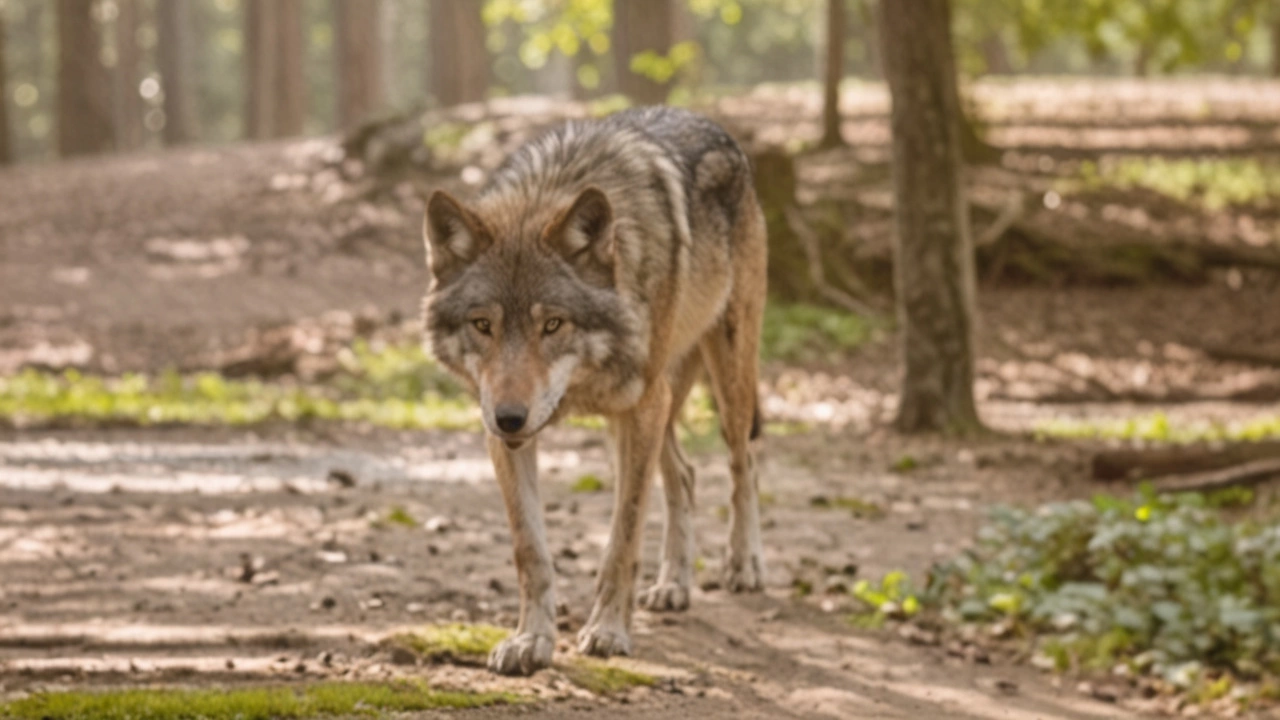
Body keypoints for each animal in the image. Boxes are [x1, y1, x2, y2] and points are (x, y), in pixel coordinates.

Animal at [419, 105, 762, 671]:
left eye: (553, 324)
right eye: (483, 325)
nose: (510, 417)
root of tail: (710, 122)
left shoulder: (643, 407)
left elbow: (623, 538)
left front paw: (606, 630)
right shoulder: (505, 434)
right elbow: (530, 550)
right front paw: (531, 639)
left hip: (723, 377)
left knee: (743, 463)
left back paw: (744, 564)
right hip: (635, 415)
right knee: (685, 475)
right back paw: (673, 585)